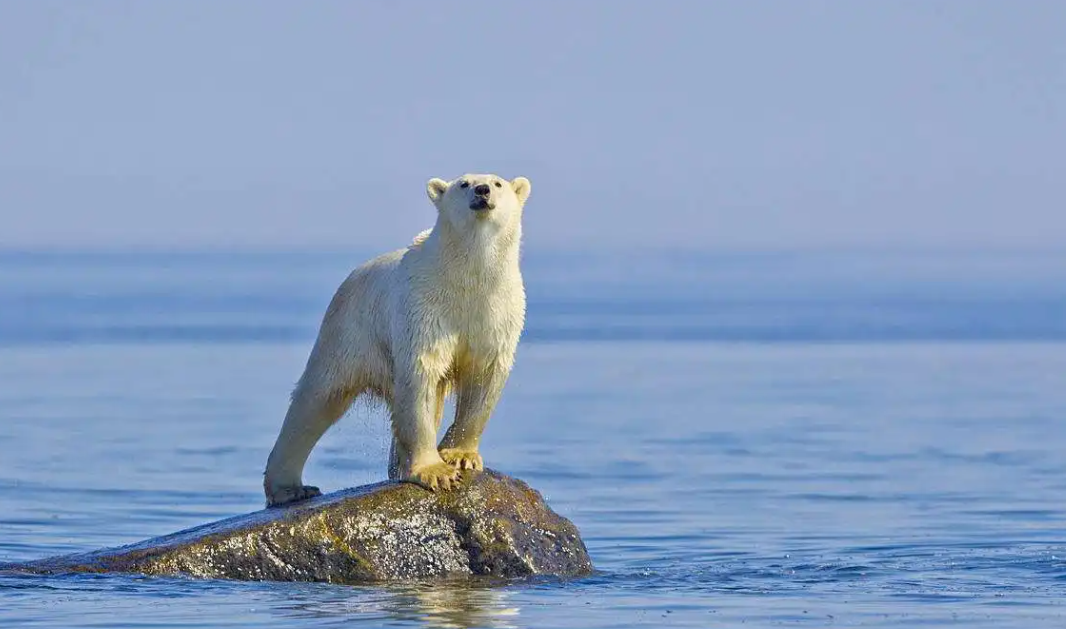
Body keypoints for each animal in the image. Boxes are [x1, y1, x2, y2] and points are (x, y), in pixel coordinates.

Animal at [262, 174, 528, 509]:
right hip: (348, 334)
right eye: (464, 184)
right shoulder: (424, 310)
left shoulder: (498, 314)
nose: (482, 191)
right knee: (317, 399)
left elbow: (485, 376)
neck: (468, 279)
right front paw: (435, 471)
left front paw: (459, 455)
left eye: (497, 183)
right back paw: (291, 488)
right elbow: (421, 377)